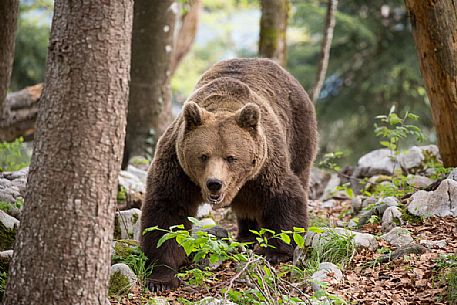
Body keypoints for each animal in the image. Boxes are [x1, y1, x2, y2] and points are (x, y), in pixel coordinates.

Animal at [141, 56, 316, 290]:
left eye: (231, 157)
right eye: (203, 156)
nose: (215, 183)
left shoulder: (265, 166)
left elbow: (282, 196)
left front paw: (276, 251)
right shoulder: (178, 169)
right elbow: (166, 214)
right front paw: (161, 278)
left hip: (298, 132)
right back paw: (246, 237)